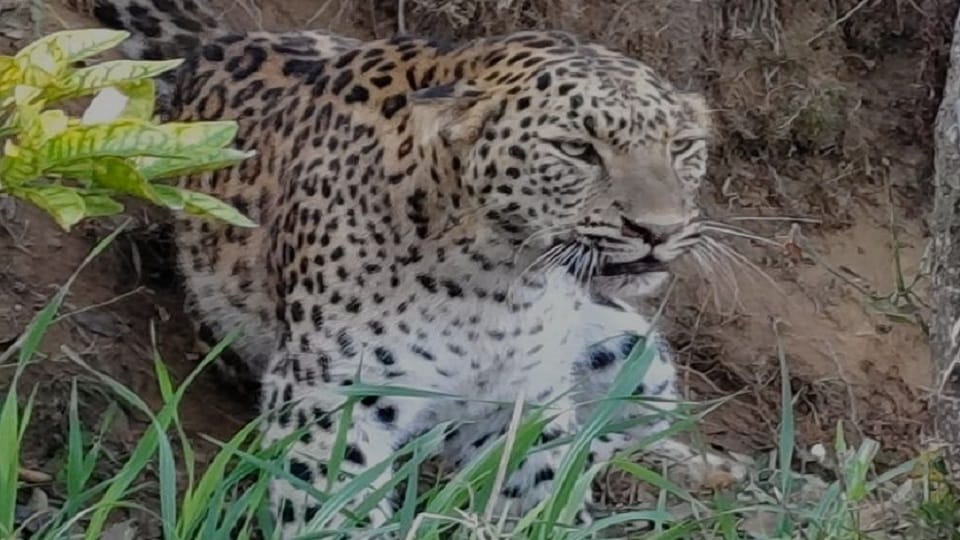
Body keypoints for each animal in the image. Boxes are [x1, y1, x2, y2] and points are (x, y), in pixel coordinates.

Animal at [68, 0, 741, 535]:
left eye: (683, 147)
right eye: (577, 149)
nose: (660, 230)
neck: (499, 283)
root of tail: (220, 40)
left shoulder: (527, 406)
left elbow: (546, 497)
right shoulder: (329, 400)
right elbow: (335, 510)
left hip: (630, 344)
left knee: (631, 433)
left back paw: (708, 471)